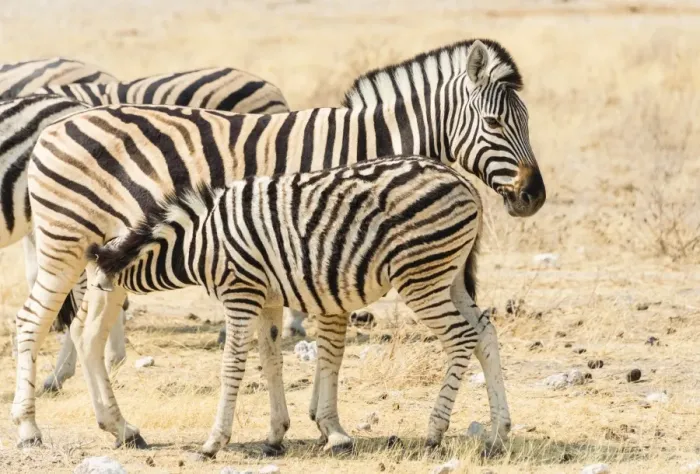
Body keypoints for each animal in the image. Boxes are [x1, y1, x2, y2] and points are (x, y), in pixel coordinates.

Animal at [85, 156, 488, 456]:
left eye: (91, 290)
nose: (84, 323)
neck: (200, 243)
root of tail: (463, 181)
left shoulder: (241, 293)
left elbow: (232, 365)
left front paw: (214, 442)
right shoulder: (268, 299)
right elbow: (271, 361)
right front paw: (275, 435)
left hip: (421, 275)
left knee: (462, 338)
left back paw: (435, 432)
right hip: (449, 275)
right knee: (484, 331)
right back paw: (497, 430)